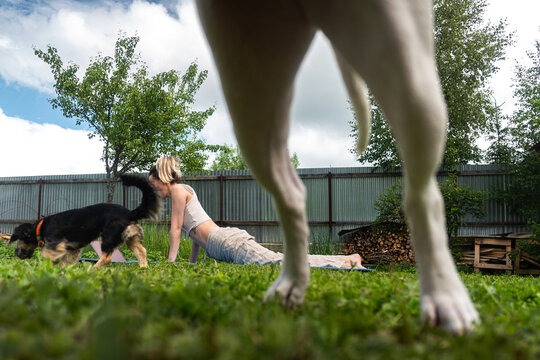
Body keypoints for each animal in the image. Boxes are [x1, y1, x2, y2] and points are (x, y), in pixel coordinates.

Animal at [9, 174, 160, 268]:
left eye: (19, 240)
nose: (15, 254)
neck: (40, 227)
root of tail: (130, 213)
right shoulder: (73, 249)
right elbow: (66, 262)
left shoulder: (56, 244)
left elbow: (47, 255)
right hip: (131, 238)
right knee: (142, 251)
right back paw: (143, 267)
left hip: (108, 237)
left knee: (107, 258)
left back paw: (94, 269)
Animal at [196, 0, 478, 334]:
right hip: (250, 92)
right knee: (291, 195)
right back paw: (292, 283)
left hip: (410, 77)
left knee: (422, 196)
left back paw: (444, 296)